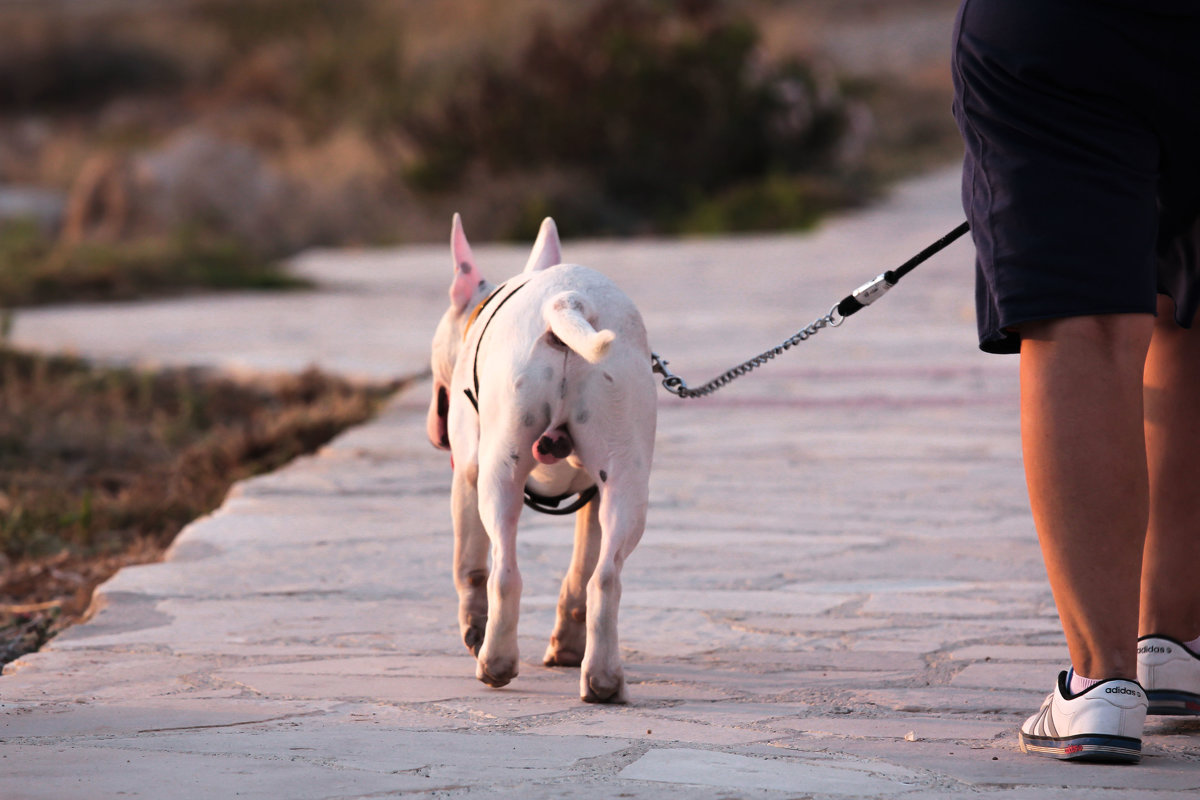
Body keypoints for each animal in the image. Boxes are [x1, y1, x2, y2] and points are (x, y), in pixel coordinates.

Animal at [429, 212, 657, 700]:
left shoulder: (466, 477)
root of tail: (567, 301)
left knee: (503, 569)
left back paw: (495, 661)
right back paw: (602, 680)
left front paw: (473, 629)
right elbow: (580, 571)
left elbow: (468, 566)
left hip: (499, 473)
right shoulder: (592, 496)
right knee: (604, 575)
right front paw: (567, 648)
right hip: (626, 477)